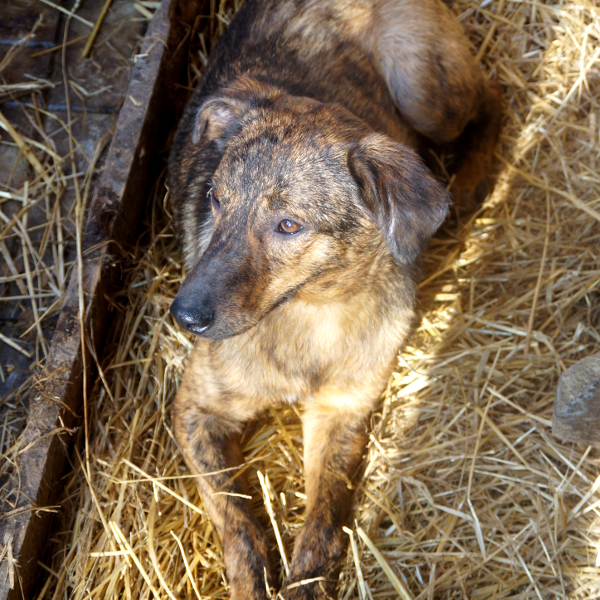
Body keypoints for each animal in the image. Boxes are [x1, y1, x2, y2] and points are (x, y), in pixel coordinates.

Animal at [166, 2, 500, 596]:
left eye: (288, 225)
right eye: (215, 198)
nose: (184, 316)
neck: (313, 312)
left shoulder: (343, 411)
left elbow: (323, 518)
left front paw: (307, 578)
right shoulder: (195, 413)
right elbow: (236, 518)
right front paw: (252, 580)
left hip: (421, 85)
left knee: (494, 97)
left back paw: (469, 182)